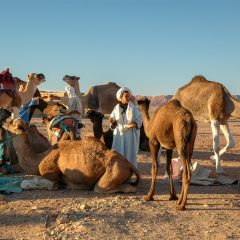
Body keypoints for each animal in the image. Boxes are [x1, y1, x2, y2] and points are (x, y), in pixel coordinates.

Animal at [5, 118, 141, 193]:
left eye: (11, 122)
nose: (3, 121)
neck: (39, 159)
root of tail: (130, 165)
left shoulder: (51, 174)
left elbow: (27, 183)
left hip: (114, 170)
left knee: (102, 187)